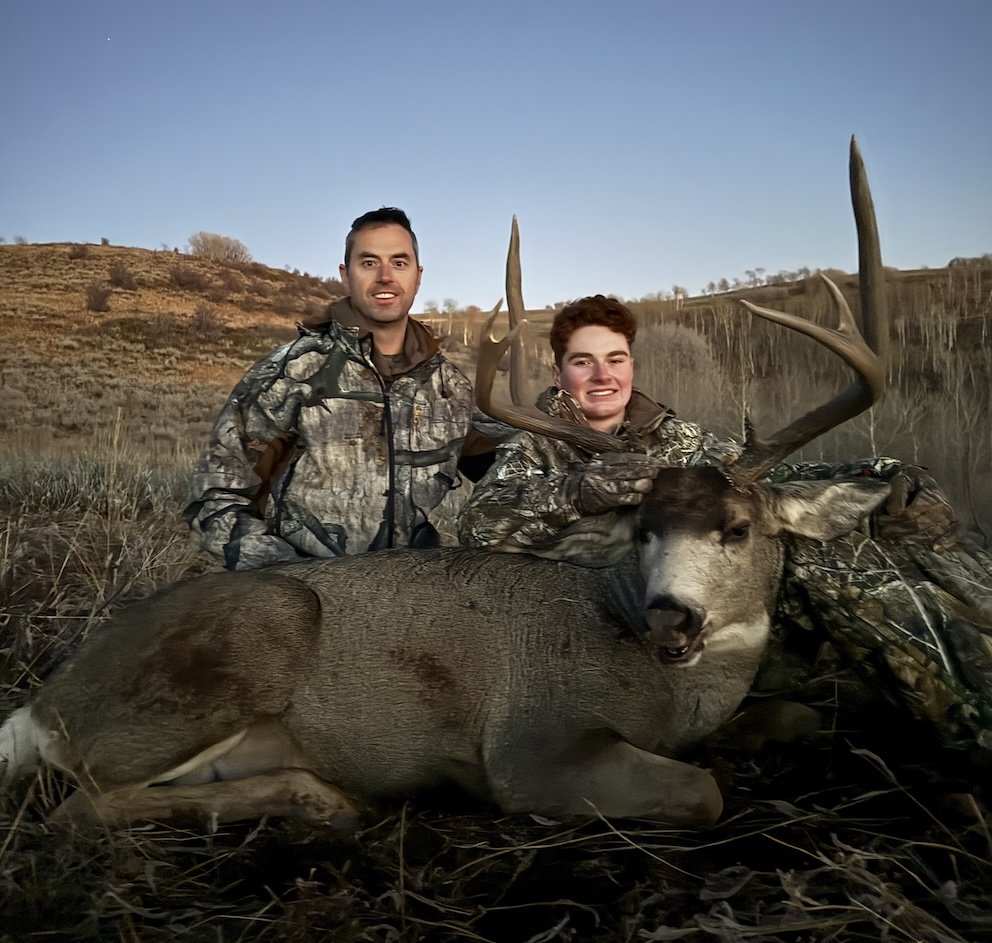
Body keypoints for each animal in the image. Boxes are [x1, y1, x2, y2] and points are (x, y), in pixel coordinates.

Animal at [0, 138, 892, 830]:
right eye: (644, 530)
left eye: (737, 528)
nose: (671, 618)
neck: (666, 691)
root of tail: (44, 703)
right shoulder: (532, 744)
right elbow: (704, 790)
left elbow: (799, 712)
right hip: (245, 642)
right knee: (79, 806)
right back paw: (321, 797)